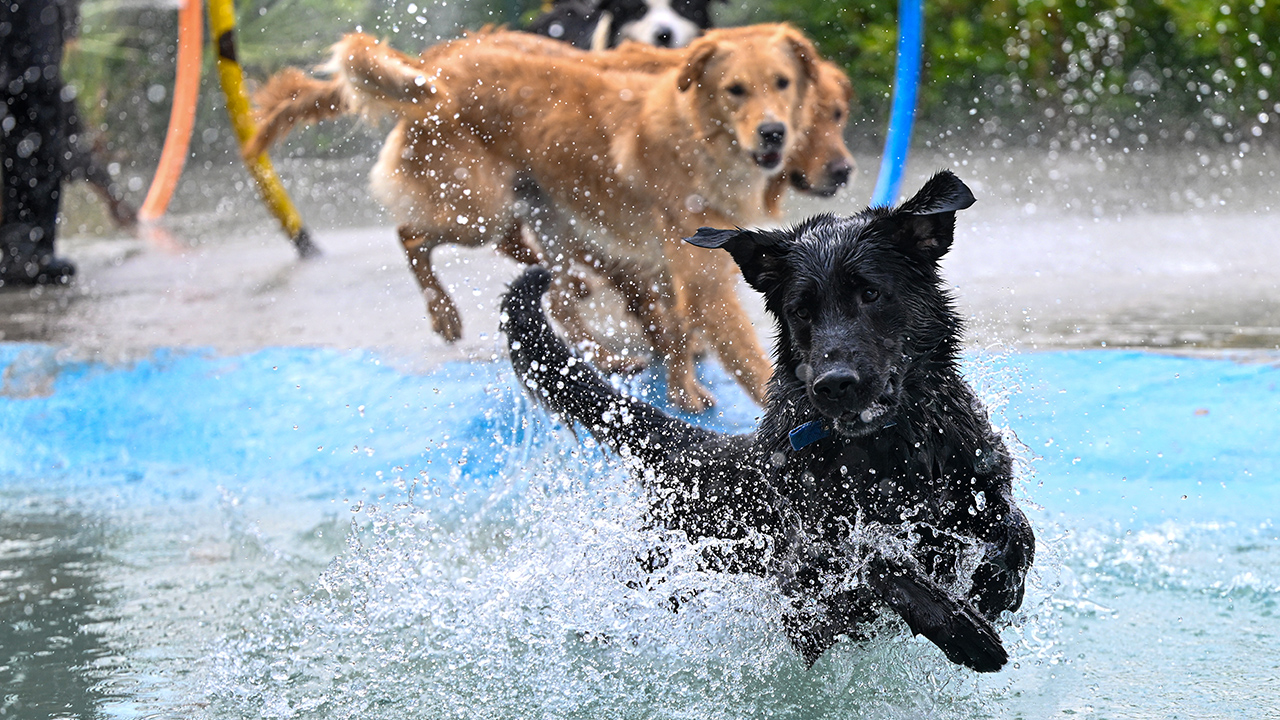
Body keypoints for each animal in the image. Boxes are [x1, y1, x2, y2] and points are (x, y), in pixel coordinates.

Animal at [504, 170, 1034, 671]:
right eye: (800, 310)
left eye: (870, 293)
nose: (833, 385)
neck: (887, 450)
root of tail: (705, 451)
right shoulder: (809, 570)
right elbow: (877, 562)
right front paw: (961, 627)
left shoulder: (980, 471)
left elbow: (1016, 526)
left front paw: (998, 581)